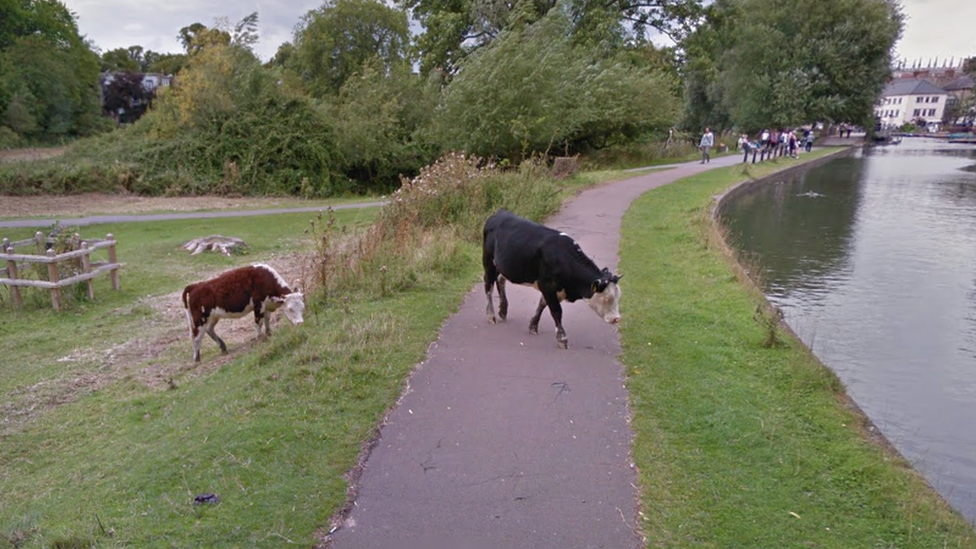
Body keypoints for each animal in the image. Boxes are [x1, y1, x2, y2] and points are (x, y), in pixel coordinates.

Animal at [482, 208, 624, 348]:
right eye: (606, 299)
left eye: (618, 297)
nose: (616, 318)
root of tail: (499, 213)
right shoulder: (547, 286)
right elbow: (556, 311)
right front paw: (562, 338)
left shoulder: (555, 289)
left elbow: (542, 304)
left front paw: (533, 326)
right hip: (488, 261)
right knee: (488, 285)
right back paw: (491, 315)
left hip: (504, 265)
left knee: (500, 279)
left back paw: (503, 309)